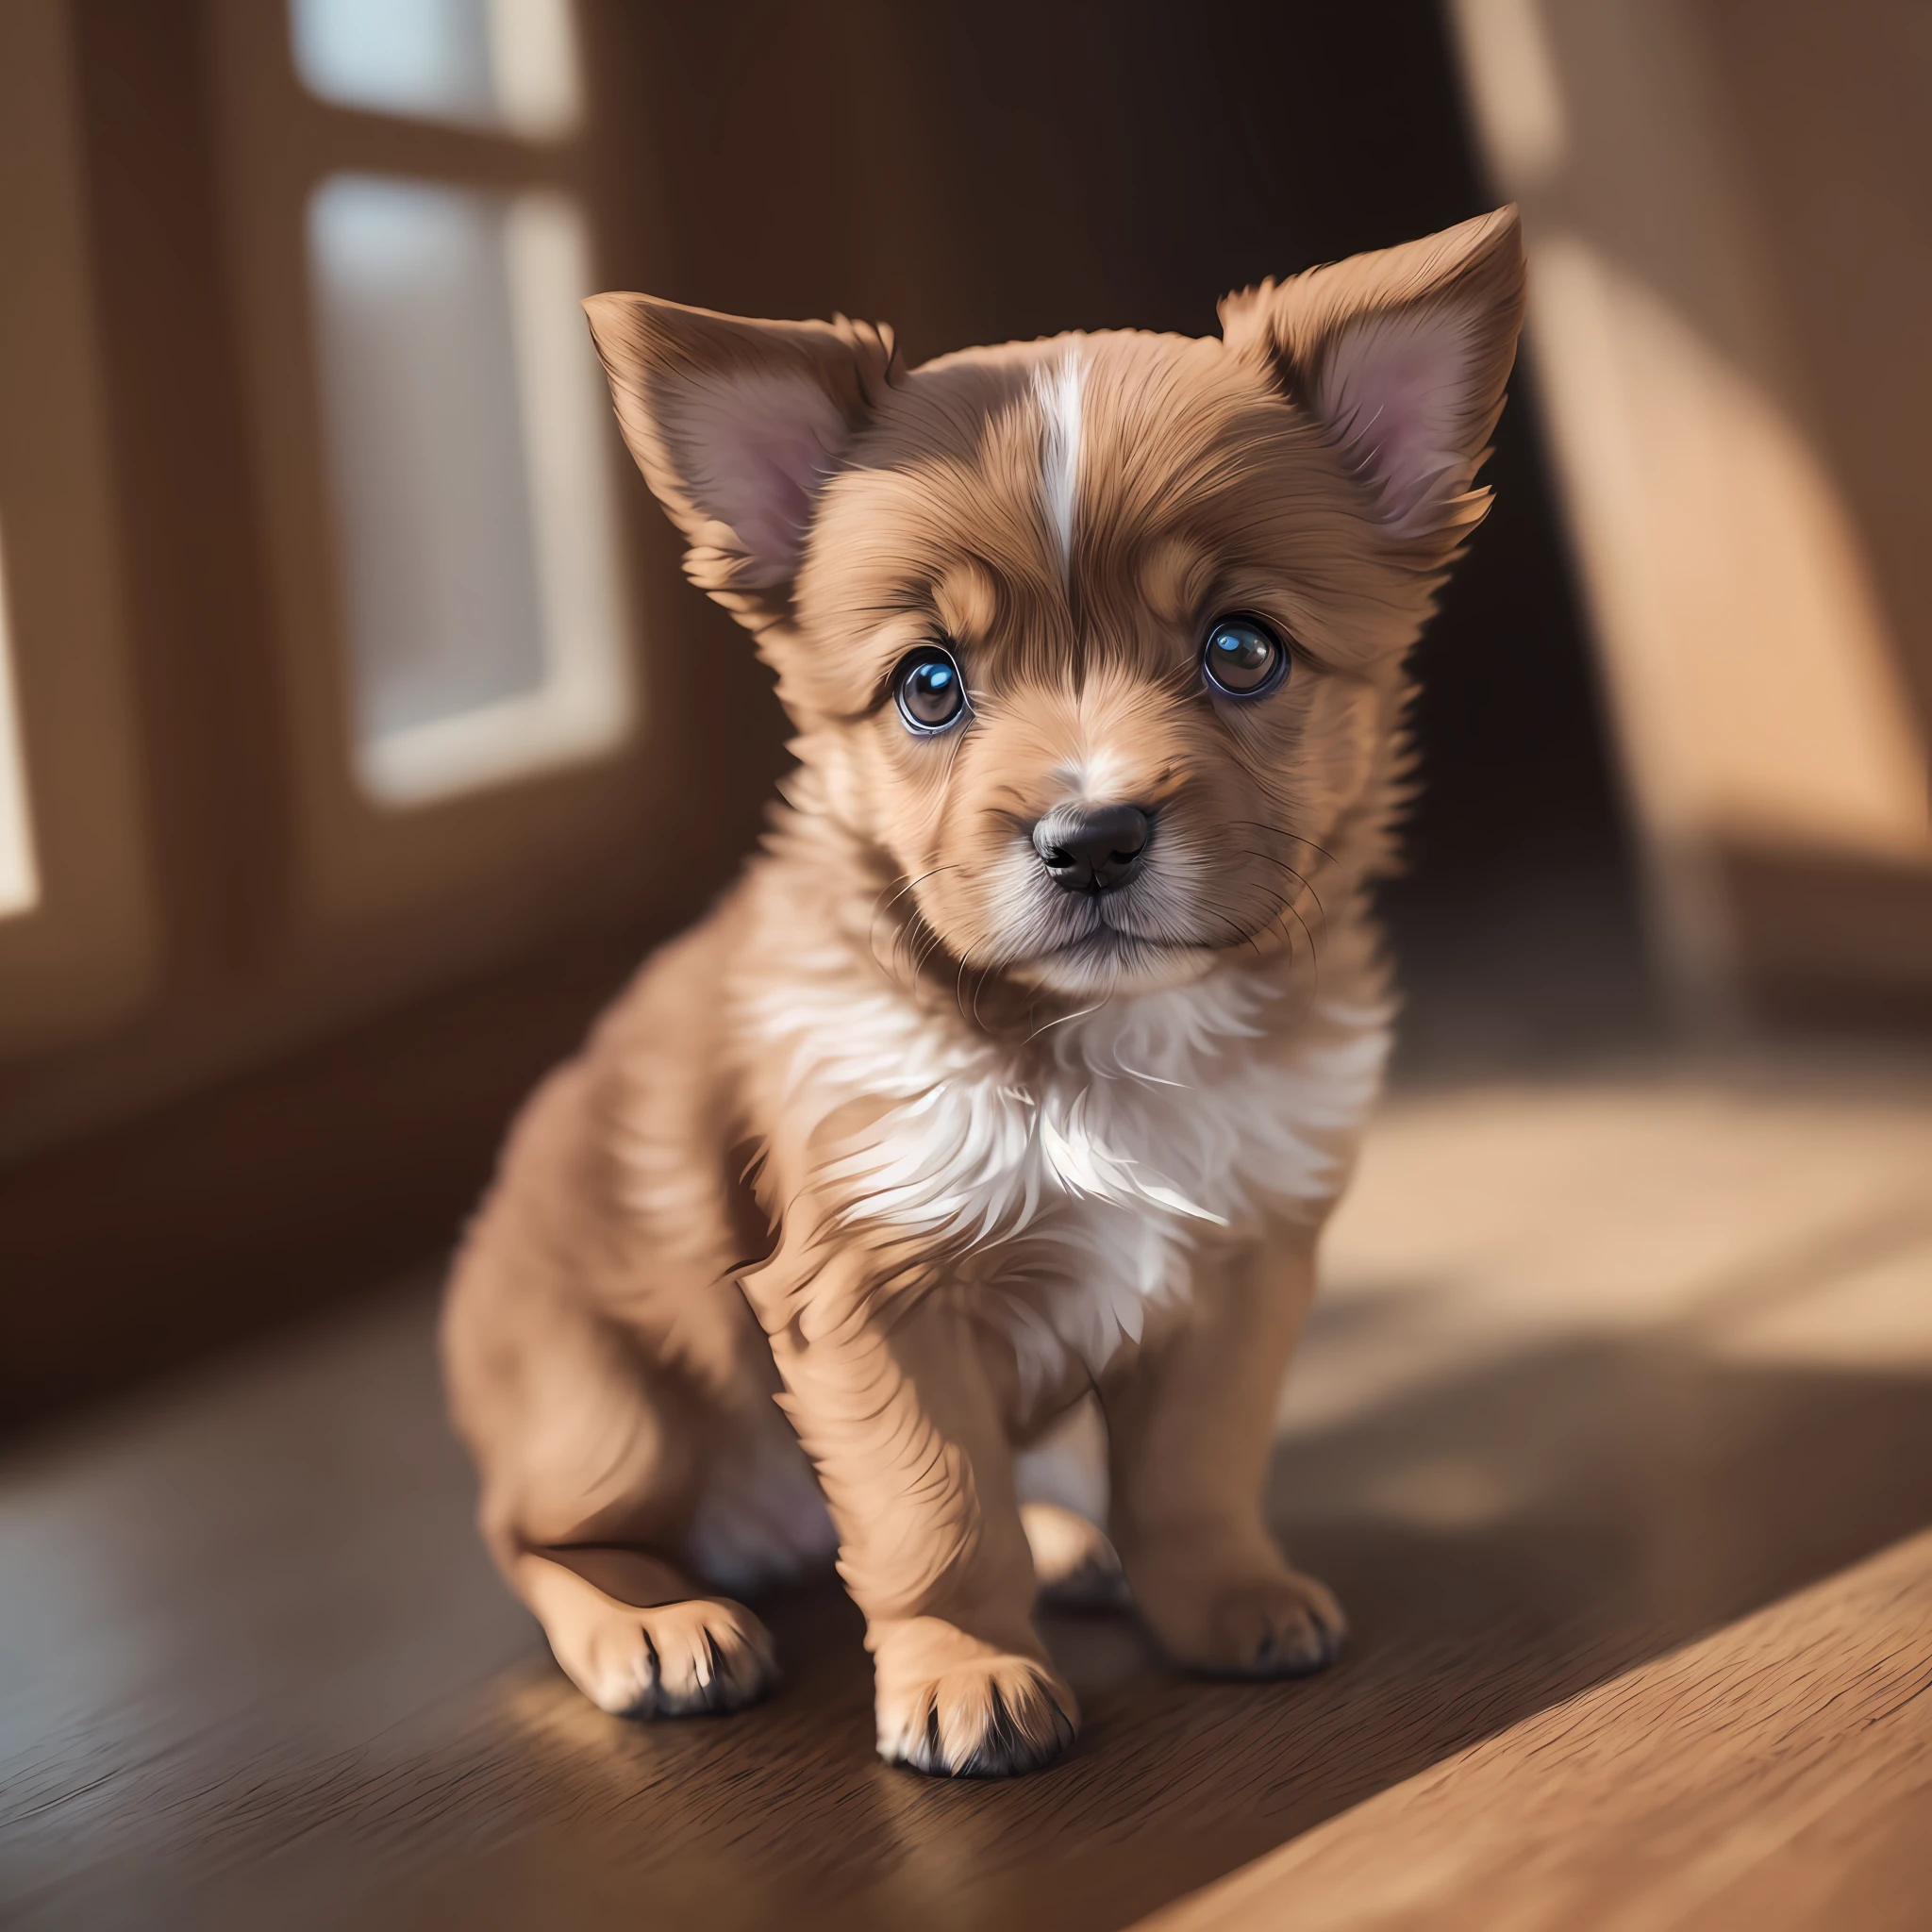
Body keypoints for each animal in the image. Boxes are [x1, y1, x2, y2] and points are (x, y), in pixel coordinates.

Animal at [438, 204, 1522, 1769]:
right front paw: (963, 1674)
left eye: (1241, 649)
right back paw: (654, 1627)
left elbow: (1194, 1469)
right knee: (536, 1537)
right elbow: (934, 1511)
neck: (1111, 1040)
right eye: (929, 686)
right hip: (605, 1410)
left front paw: (1222, 1601)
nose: (1094, 837)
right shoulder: (870, 1288)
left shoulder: (1243, 1258)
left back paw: (1074, 1546)